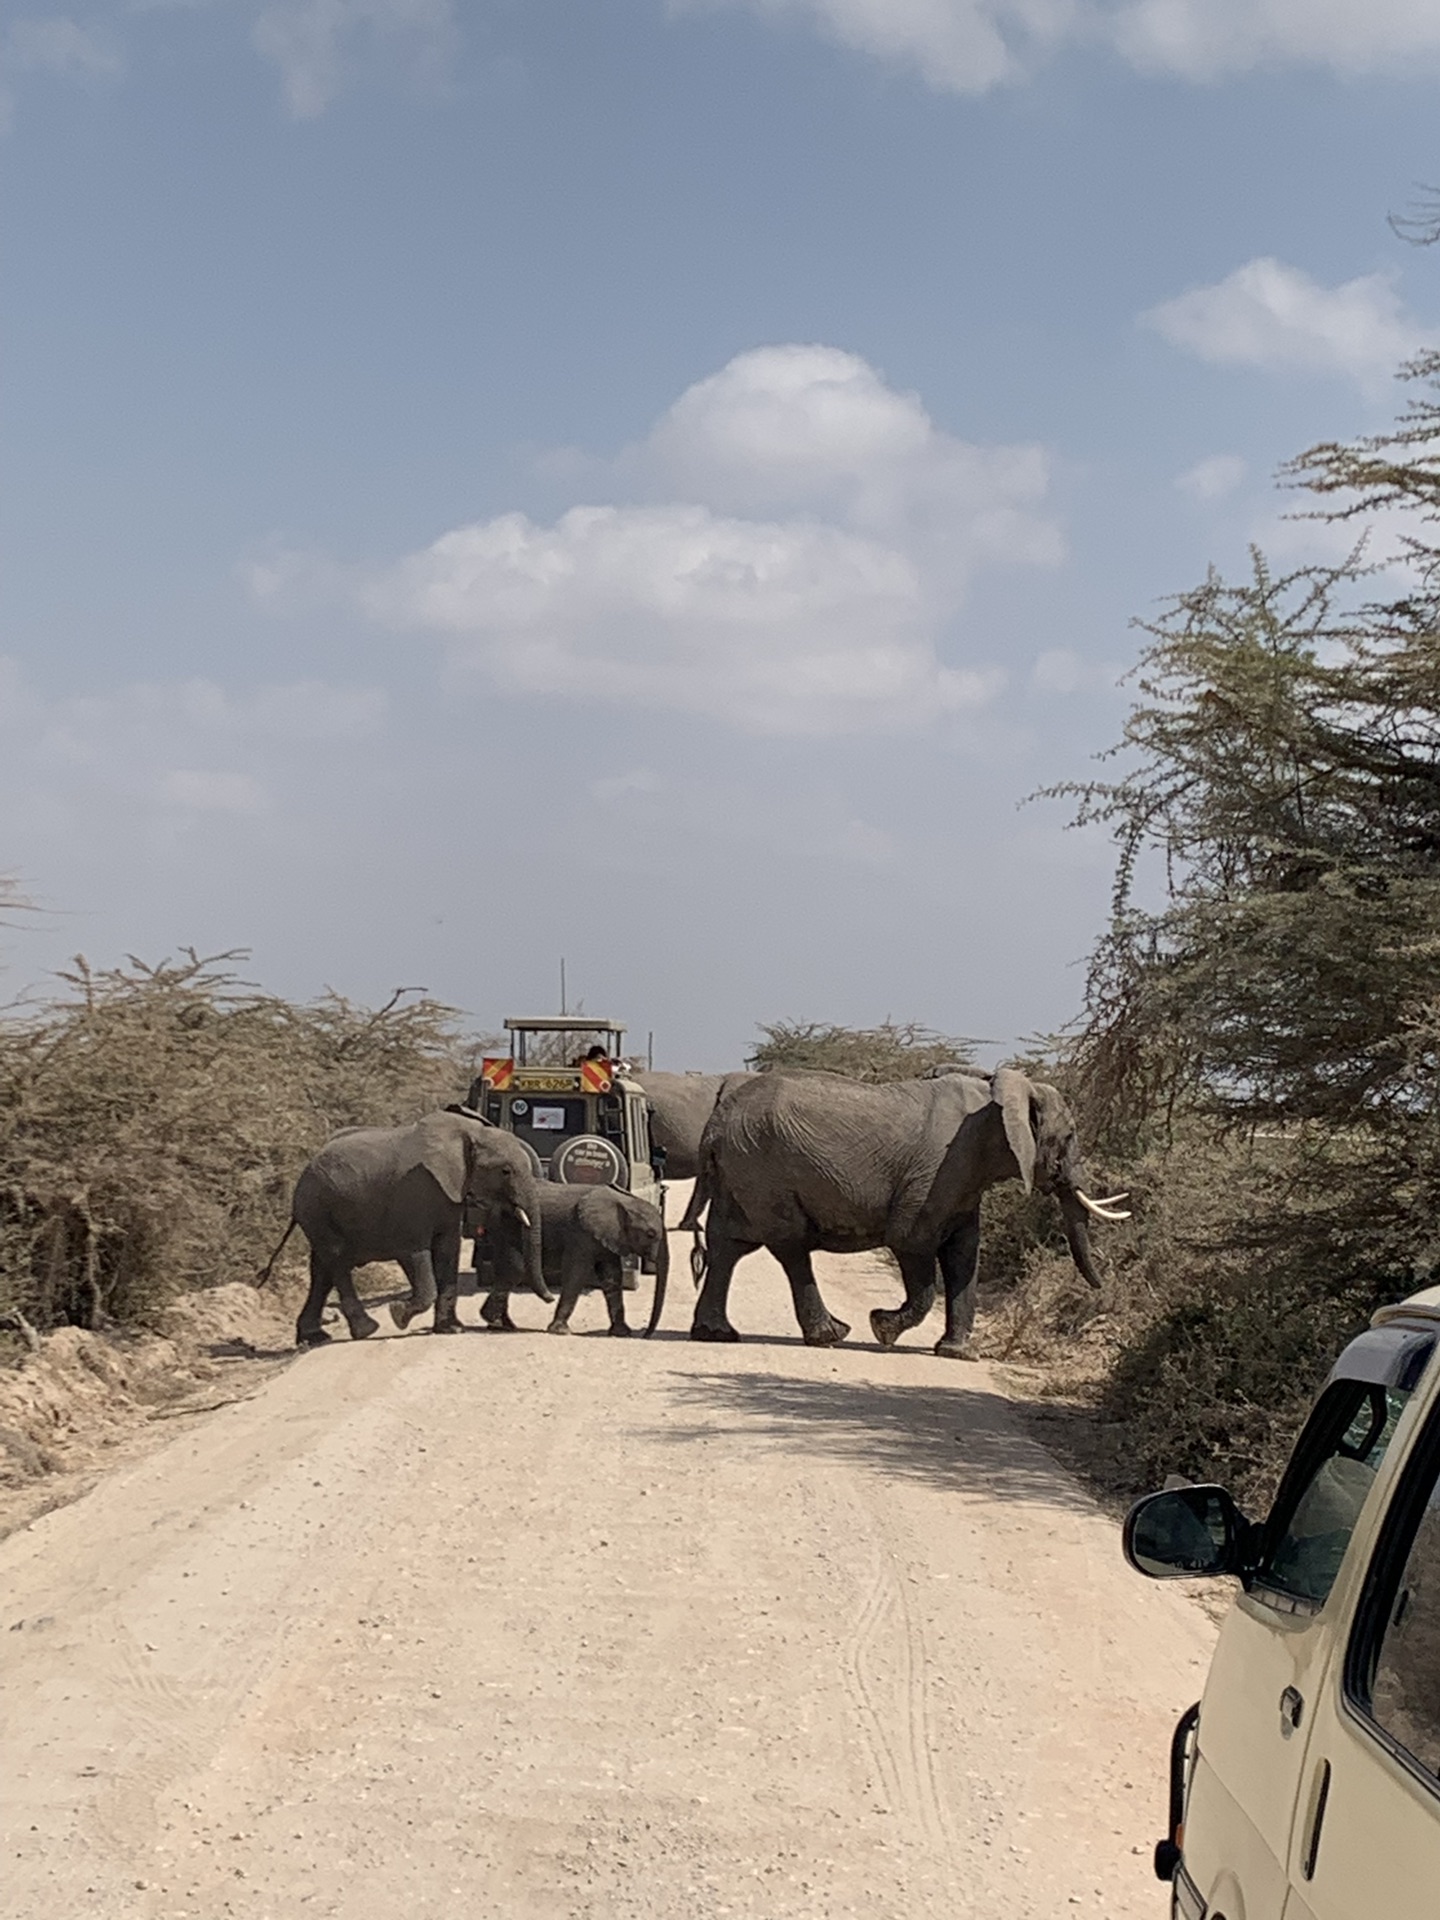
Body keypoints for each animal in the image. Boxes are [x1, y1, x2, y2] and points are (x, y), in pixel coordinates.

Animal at [257, 1113, 549, 1351]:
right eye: (506, 1171)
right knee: (336, 1259)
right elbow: (415, 1252)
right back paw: (366, 1329)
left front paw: (451, 1329)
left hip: (320, 1212)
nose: (547, 1299)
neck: (470, 1132)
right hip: (316, 1208)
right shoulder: (415, 1191)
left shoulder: (450, 1194)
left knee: (321, 1269)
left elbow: (448, 1250)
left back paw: (313, 1338)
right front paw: (398, 1313)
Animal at [480, 1182, 672, 1336]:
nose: (645, 1335)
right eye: (651, 1234)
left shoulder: (608, 1238)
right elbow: (576, 1275)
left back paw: (501, 1325)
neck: (623, 1201)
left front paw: (621, 1333)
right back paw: (496, 1323)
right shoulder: (580, 1234)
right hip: (508, 1227)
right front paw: (560, 1331)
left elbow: (612, 1279)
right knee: (514, 1270)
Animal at [683, 1075, 1136, 1359]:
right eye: (1069, 1136)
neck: (1004, 1092)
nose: (1103, 1289)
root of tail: (714, 1124)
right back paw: (831, 1336)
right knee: (790, 1246)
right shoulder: (938, 1174)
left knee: (728, 1245)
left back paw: (716, 1335)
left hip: (742, 1168)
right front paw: (882, 1329)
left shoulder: (964, 1182)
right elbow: (913, 1244)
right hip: (763, 1168)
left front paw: (958, 1354)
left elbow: (963, 1256)